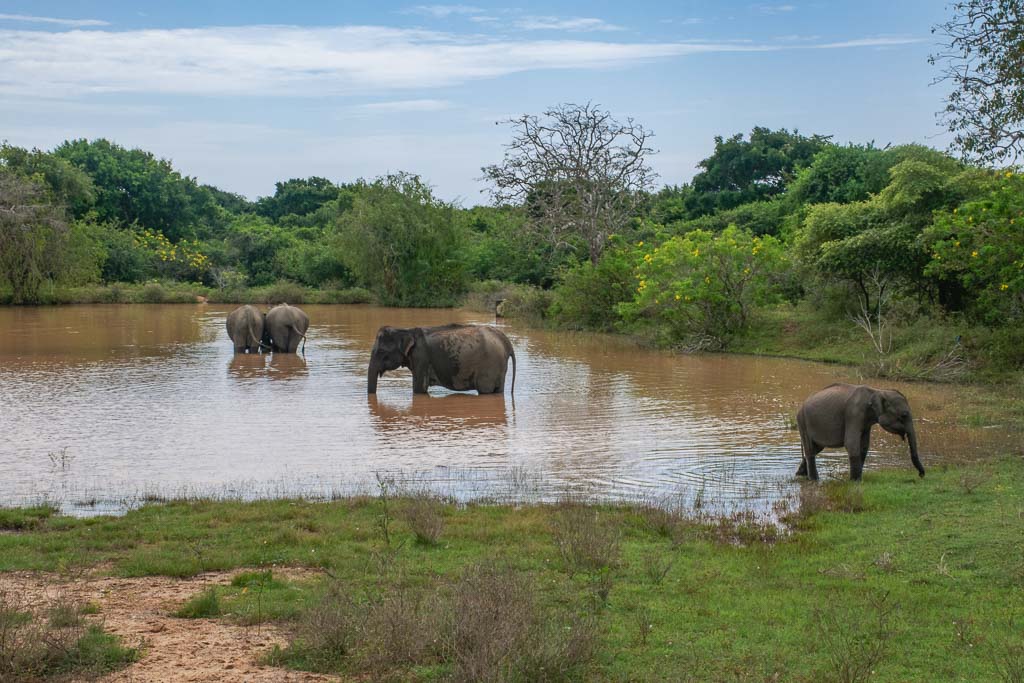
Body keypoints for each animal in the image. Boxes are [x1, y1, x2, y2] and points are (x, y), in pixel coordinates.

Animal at [367, 324, 516, 396]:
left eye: (381, 352)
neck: (406, 331)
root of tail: (506, 342)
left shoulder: (421, 357)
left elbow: (419, 389)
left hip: (489, 366)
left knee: (485, 391)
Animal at [796, 383, 925, 481]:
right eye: (904, 415)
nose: (921, 475)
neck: (877, 391)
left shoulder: (866, 422)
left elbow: (863, 446)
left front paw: (856, 479)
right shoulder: (854, 414)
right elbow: (851, 444)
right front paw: (855, 481)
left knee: (815, 449)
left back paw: (799, 475)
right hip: (803, 422)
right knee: (810, 451)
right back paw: (814, 480)